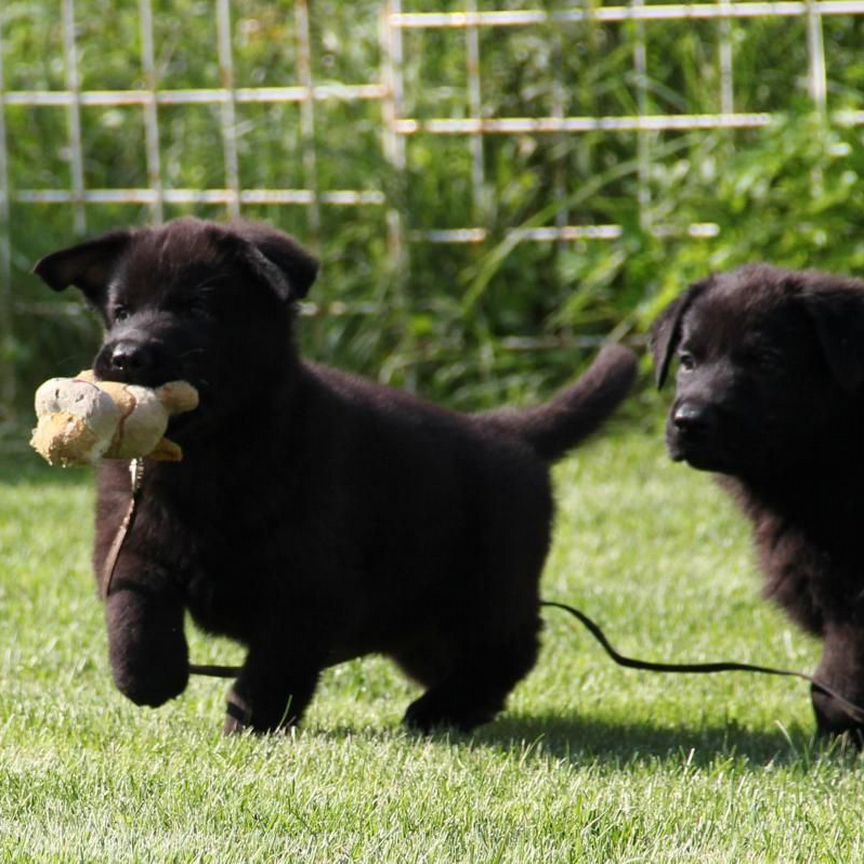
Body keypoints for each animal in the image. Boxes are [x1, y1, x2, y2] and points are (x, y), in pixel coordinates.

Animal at [35, 218, 636, 736]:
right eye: (120, 310)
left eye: (198, 307)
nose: (124, 356)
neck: (210, 454)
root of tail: (509, 432)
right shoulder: (134, 543)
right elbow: (135, 613)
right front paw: (150, 678)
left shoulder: (309, 585)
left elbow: (276, 663)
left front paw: (251, 721)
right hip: (417, 617)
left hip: (485, 589)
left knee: (512, 647)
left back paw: (440, 710)